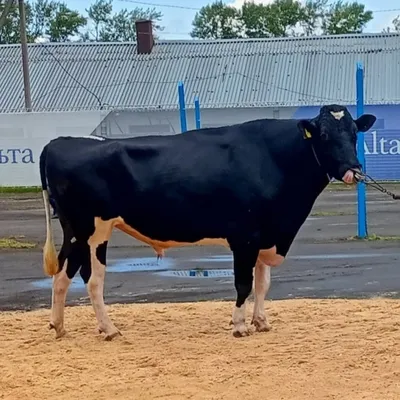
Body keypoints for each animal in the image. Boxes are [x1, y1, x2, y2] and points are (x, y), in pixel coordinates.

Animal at [39, 104, 376, 340]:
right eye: (324, 135)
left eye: (354, 133)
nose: (353, 169)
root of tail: (60, 142)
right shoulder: (245, 236)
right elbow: (243, 283)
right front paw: (240, 326)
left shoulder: (266, 232)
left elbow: (263, 283)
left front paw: (261, 322)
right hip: (92, 230)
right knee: (93, 280)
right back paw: (109, 329)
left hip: (75, 231)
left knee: (62, 276)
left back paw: (59, 326)